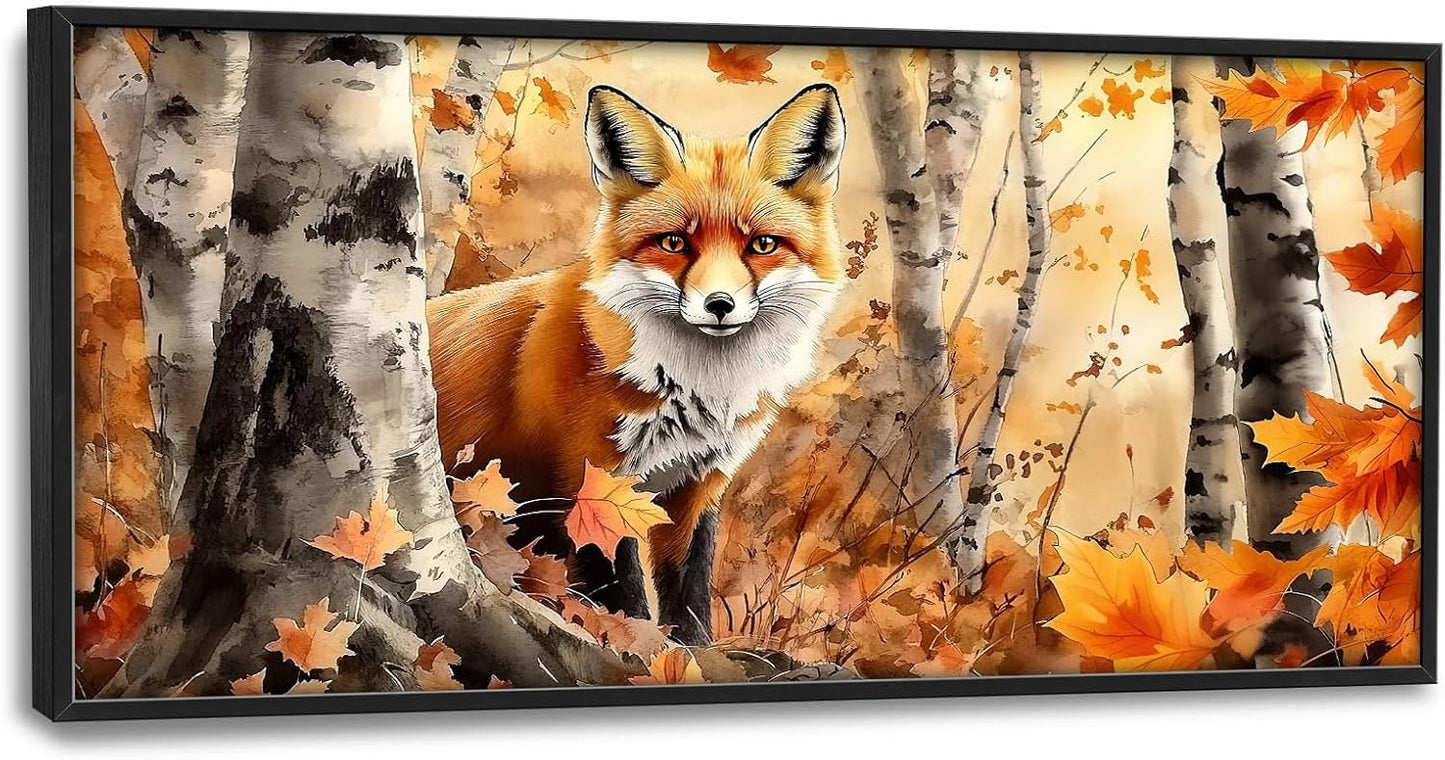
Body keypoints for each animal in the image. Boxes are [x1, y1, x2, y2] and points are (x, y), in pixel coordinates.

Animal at [427, 83, 847, 645]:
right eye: (674, 242)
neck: (697, 392)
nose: (719, 304)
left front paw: (691, 651)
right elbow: (622, 593)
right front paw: (638, 647)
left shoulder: (697, 485)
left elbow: (690, 589)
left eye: (761, 244)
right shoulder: (590, 483)